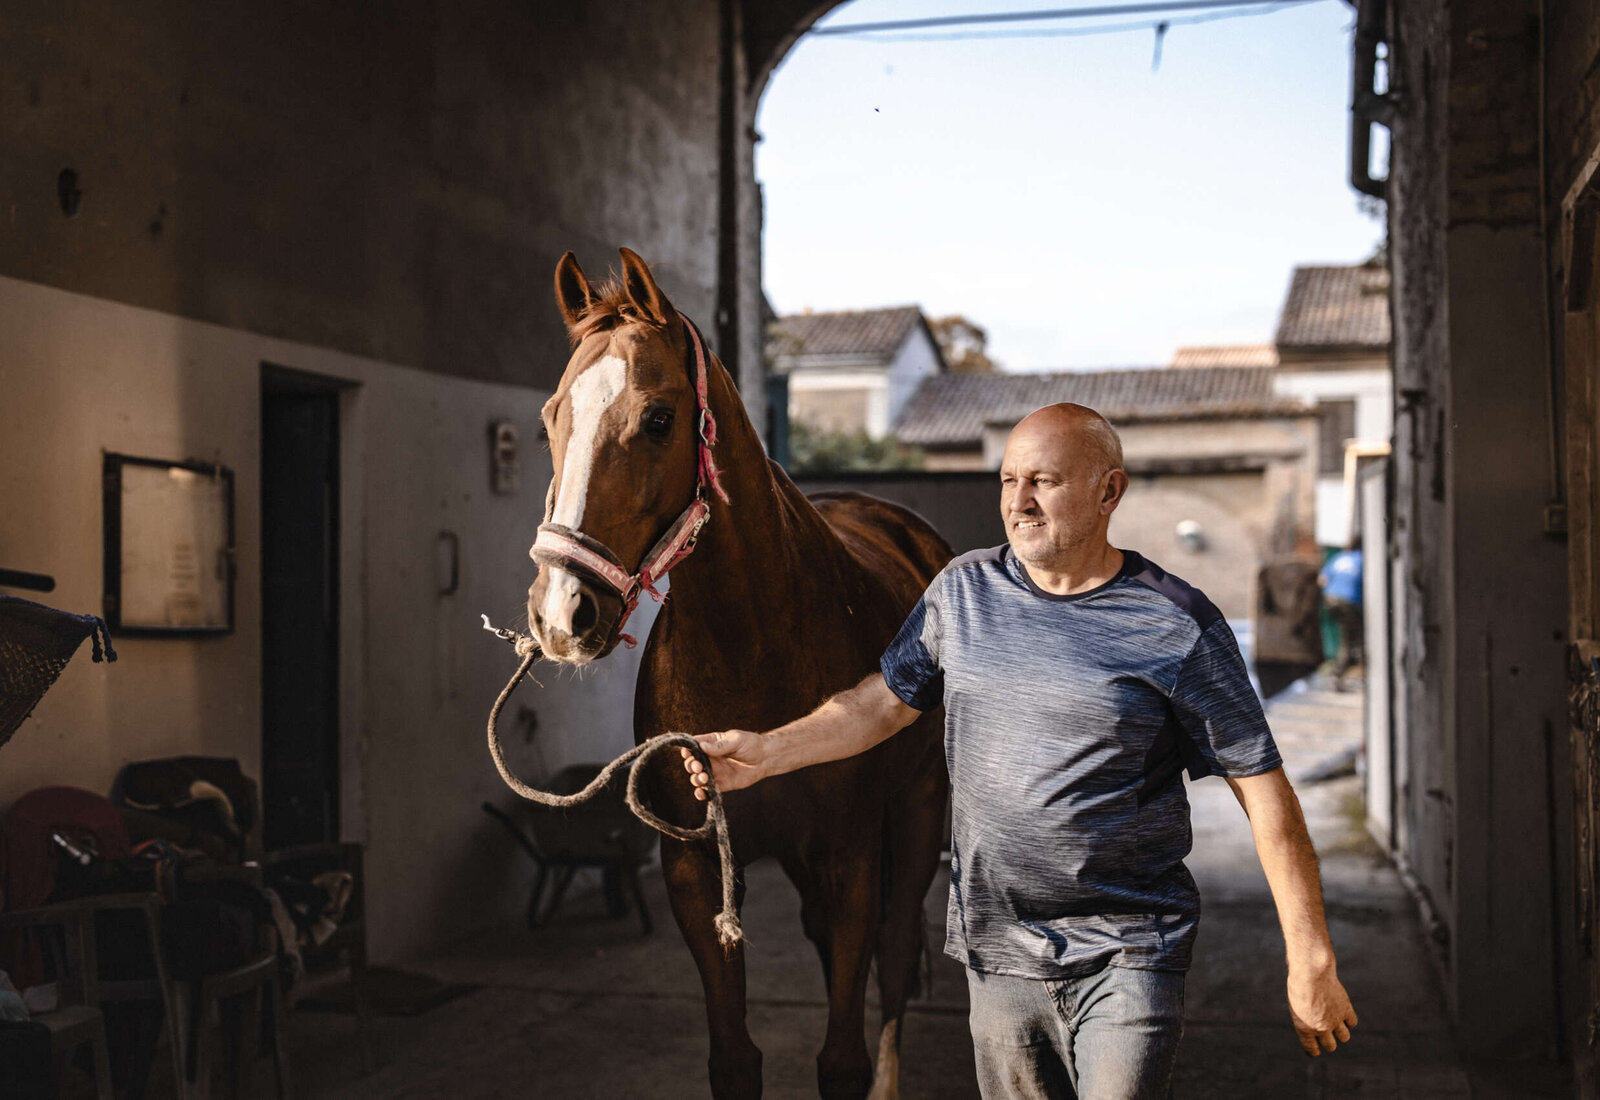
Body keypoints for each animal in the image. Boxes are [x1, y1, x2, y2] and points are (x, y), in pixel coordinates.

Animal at [524, 247, 952, 1099]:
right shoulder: (695, 869)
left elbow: (843, 1058)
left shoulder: (852, 860)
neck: (752, 648)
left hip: (920, 813)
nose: (562, 612)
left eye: (659, 419)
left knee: (893, 957)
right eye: (552, 415)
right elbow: (735, 1060)